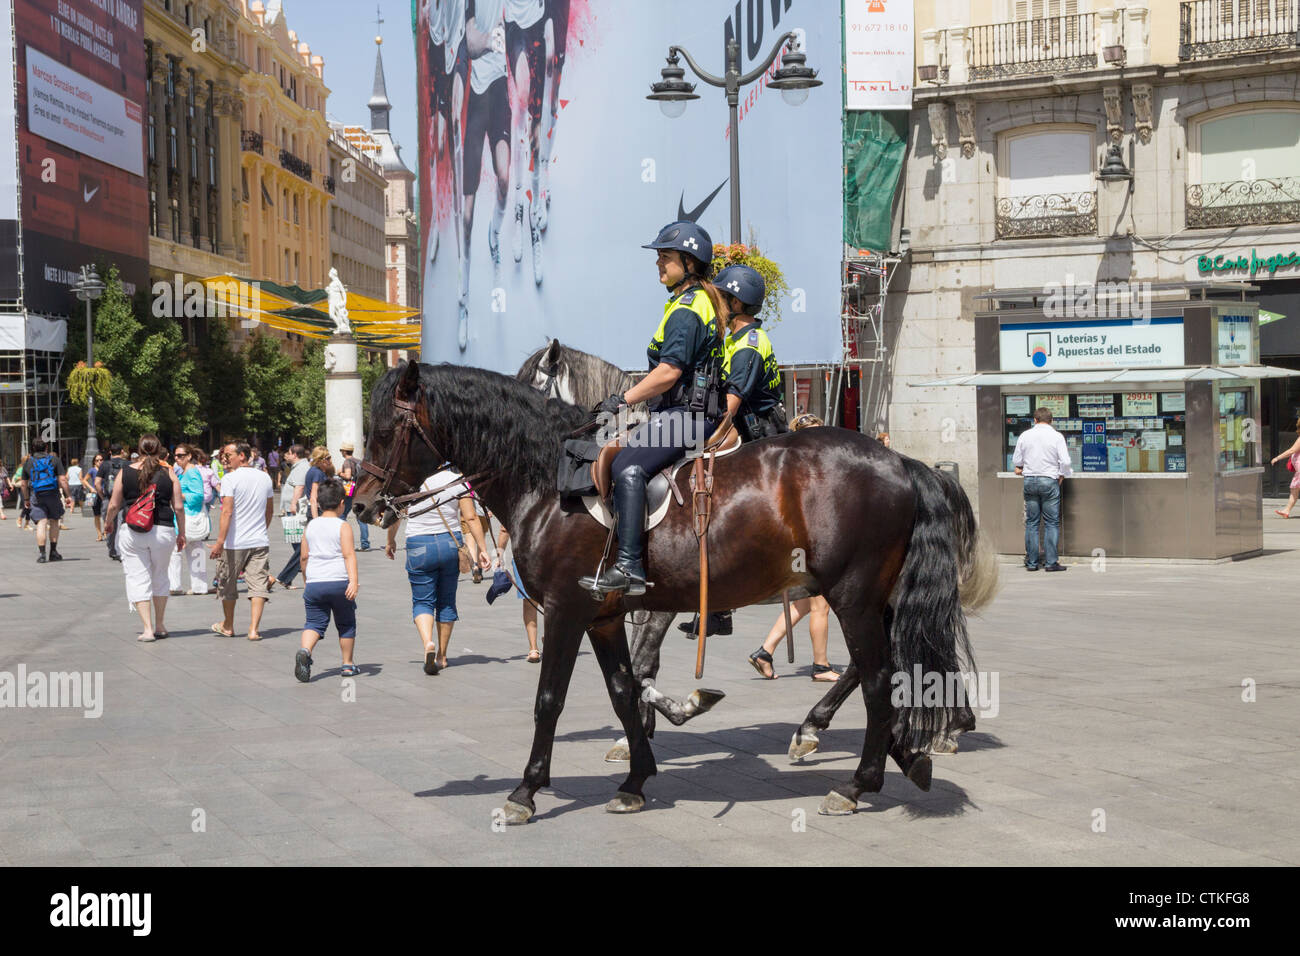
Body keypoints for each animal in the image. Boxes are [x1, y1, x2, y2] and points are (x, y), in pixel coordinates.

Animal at [356, 361, 993, 827]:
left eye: (384, 431)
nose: (361, 506)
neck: (548, 479)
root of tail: (901, 460)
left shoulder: (566, 611)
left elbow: (550, 701)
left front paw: (526, 790)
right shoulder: (603, 616)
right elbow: (623, 688)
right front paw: (636, 777)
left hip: (853, 596)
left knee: (880, 677)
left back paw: (859, 781)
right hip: (873, 598)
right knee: (887, 668)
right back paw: (902, 752)